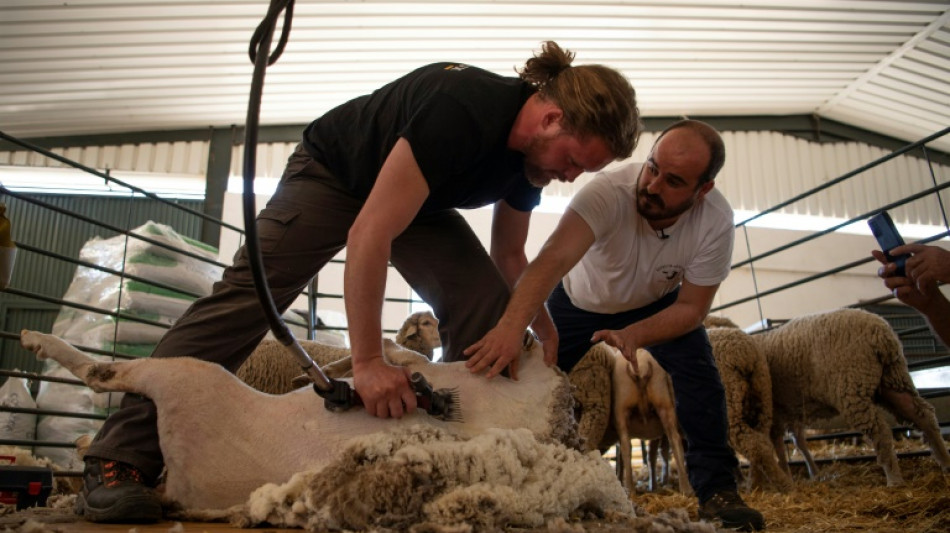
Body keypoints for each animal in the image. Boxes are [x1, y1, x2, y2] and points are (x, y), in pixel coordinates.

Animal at [18, 326, 584, 512]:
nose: (529, 338)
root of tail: (181, 489)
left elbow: (396, 354)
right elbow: (389, 351)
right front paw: (319, 372)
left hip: (190, 379)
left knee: (104, 373)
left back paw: (37, 342)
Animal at [752, 306, 950, 484]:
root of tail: (881, 335)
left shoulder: (776, 413)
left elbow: (778, 444)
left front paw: (786, 475)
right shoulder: (792, 411)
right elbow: (797, 441)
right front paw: (812, 473)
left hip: (852, 389)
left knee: (880, 431)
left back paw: (894, 480)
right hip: (893, 379)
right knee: (923, 415)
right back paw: (945, 461)